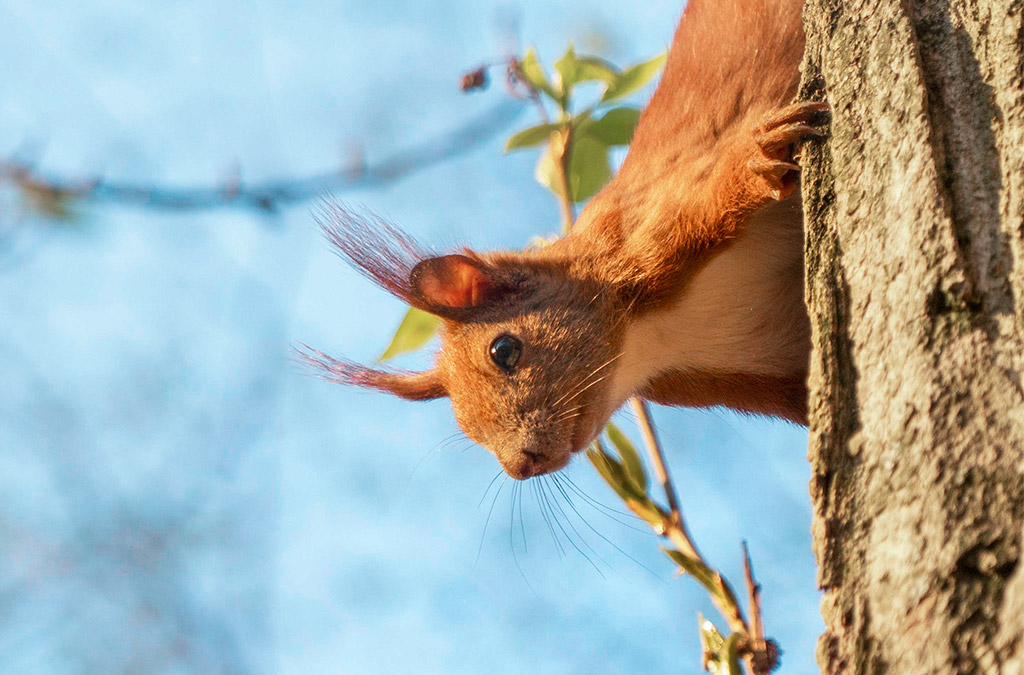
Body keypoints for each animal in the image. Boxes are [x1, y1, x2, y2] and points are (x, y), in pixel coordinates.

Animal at [301, 0, 823, 481]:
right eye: (464, 426)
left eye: (504, 350)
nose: (521, 465)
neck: (653, 337)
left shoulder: (664, 223)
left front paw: (761, 157)